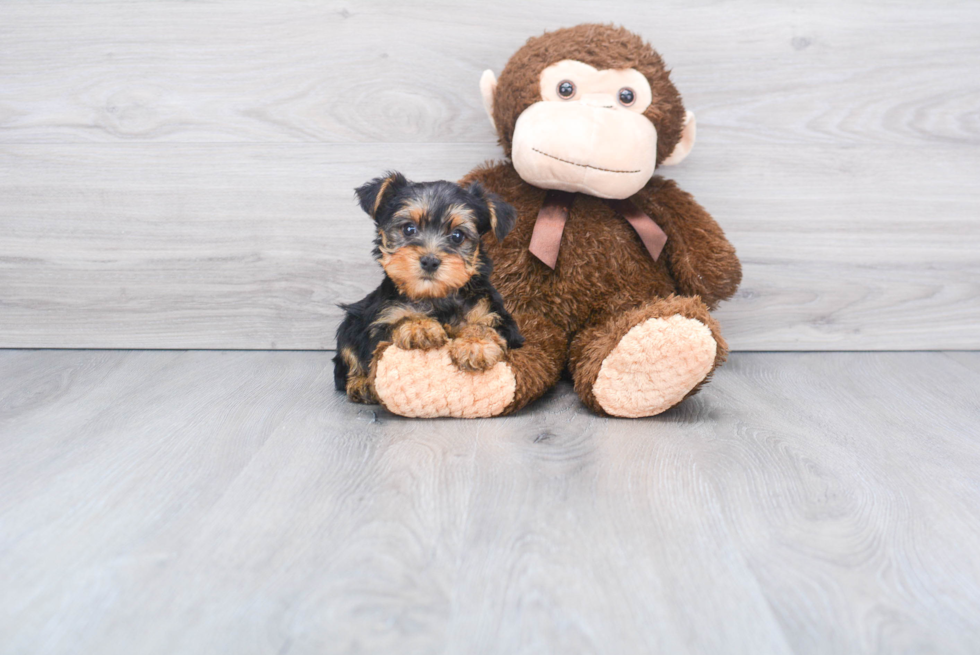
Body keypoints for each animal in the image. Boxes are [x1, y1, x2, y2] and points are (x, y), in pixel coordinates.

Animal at [334, 172, 524, 402]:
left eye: (457, 236)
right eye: (409, 229)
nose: (430, 261)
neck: (436, 297)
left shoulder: (500, 319)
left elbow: (483, 326)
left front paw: (475, 344)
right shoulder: (382, 318)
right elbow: (397, 322)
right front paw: (419, 326)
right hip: (352, 320)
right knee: (347, 355)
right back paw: (360, 383)